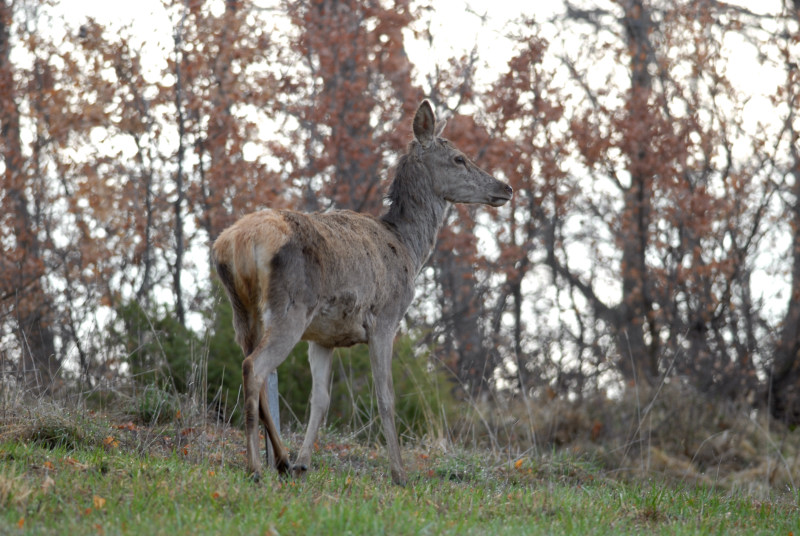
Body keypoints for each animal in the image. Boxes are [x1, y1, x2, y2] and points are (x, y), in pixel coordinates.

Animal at [212, 98, 512, 484]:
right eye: (459, 158)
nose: (505, 187)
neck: (408, 248)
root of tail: (238, 242)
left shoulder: (322, 337)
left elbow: (321, 400)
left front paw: (304, 462)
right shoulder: (386, 318)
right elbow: (385, 396)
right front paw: (399, 473)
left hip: (242, 311)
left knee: (256, 370)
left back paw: (281, 460)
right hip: (290, 306)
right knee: (254, 367)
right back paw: (255, 468)